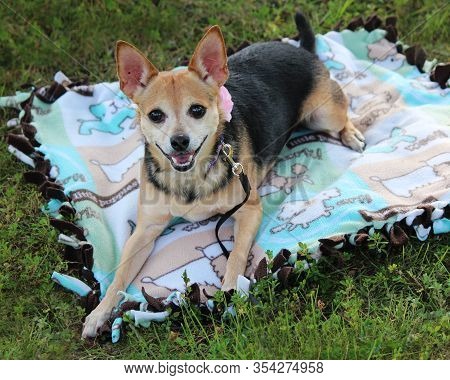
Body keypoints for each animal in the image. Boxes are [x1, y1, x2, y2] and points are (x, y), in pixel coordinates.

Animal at [82, 11, 366, 338]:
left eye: (197, 110)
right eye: (155, 115)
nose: (179, 142)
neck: (190, 176)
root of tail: (302, 50)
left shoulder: (248, 210)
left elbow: (237, 255)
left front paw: (232, 290)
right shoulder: (145, 229)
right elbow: (118, 278)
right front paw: (100, 312)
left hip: (322, 115)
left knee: (343, 117)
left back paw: (351, 133)